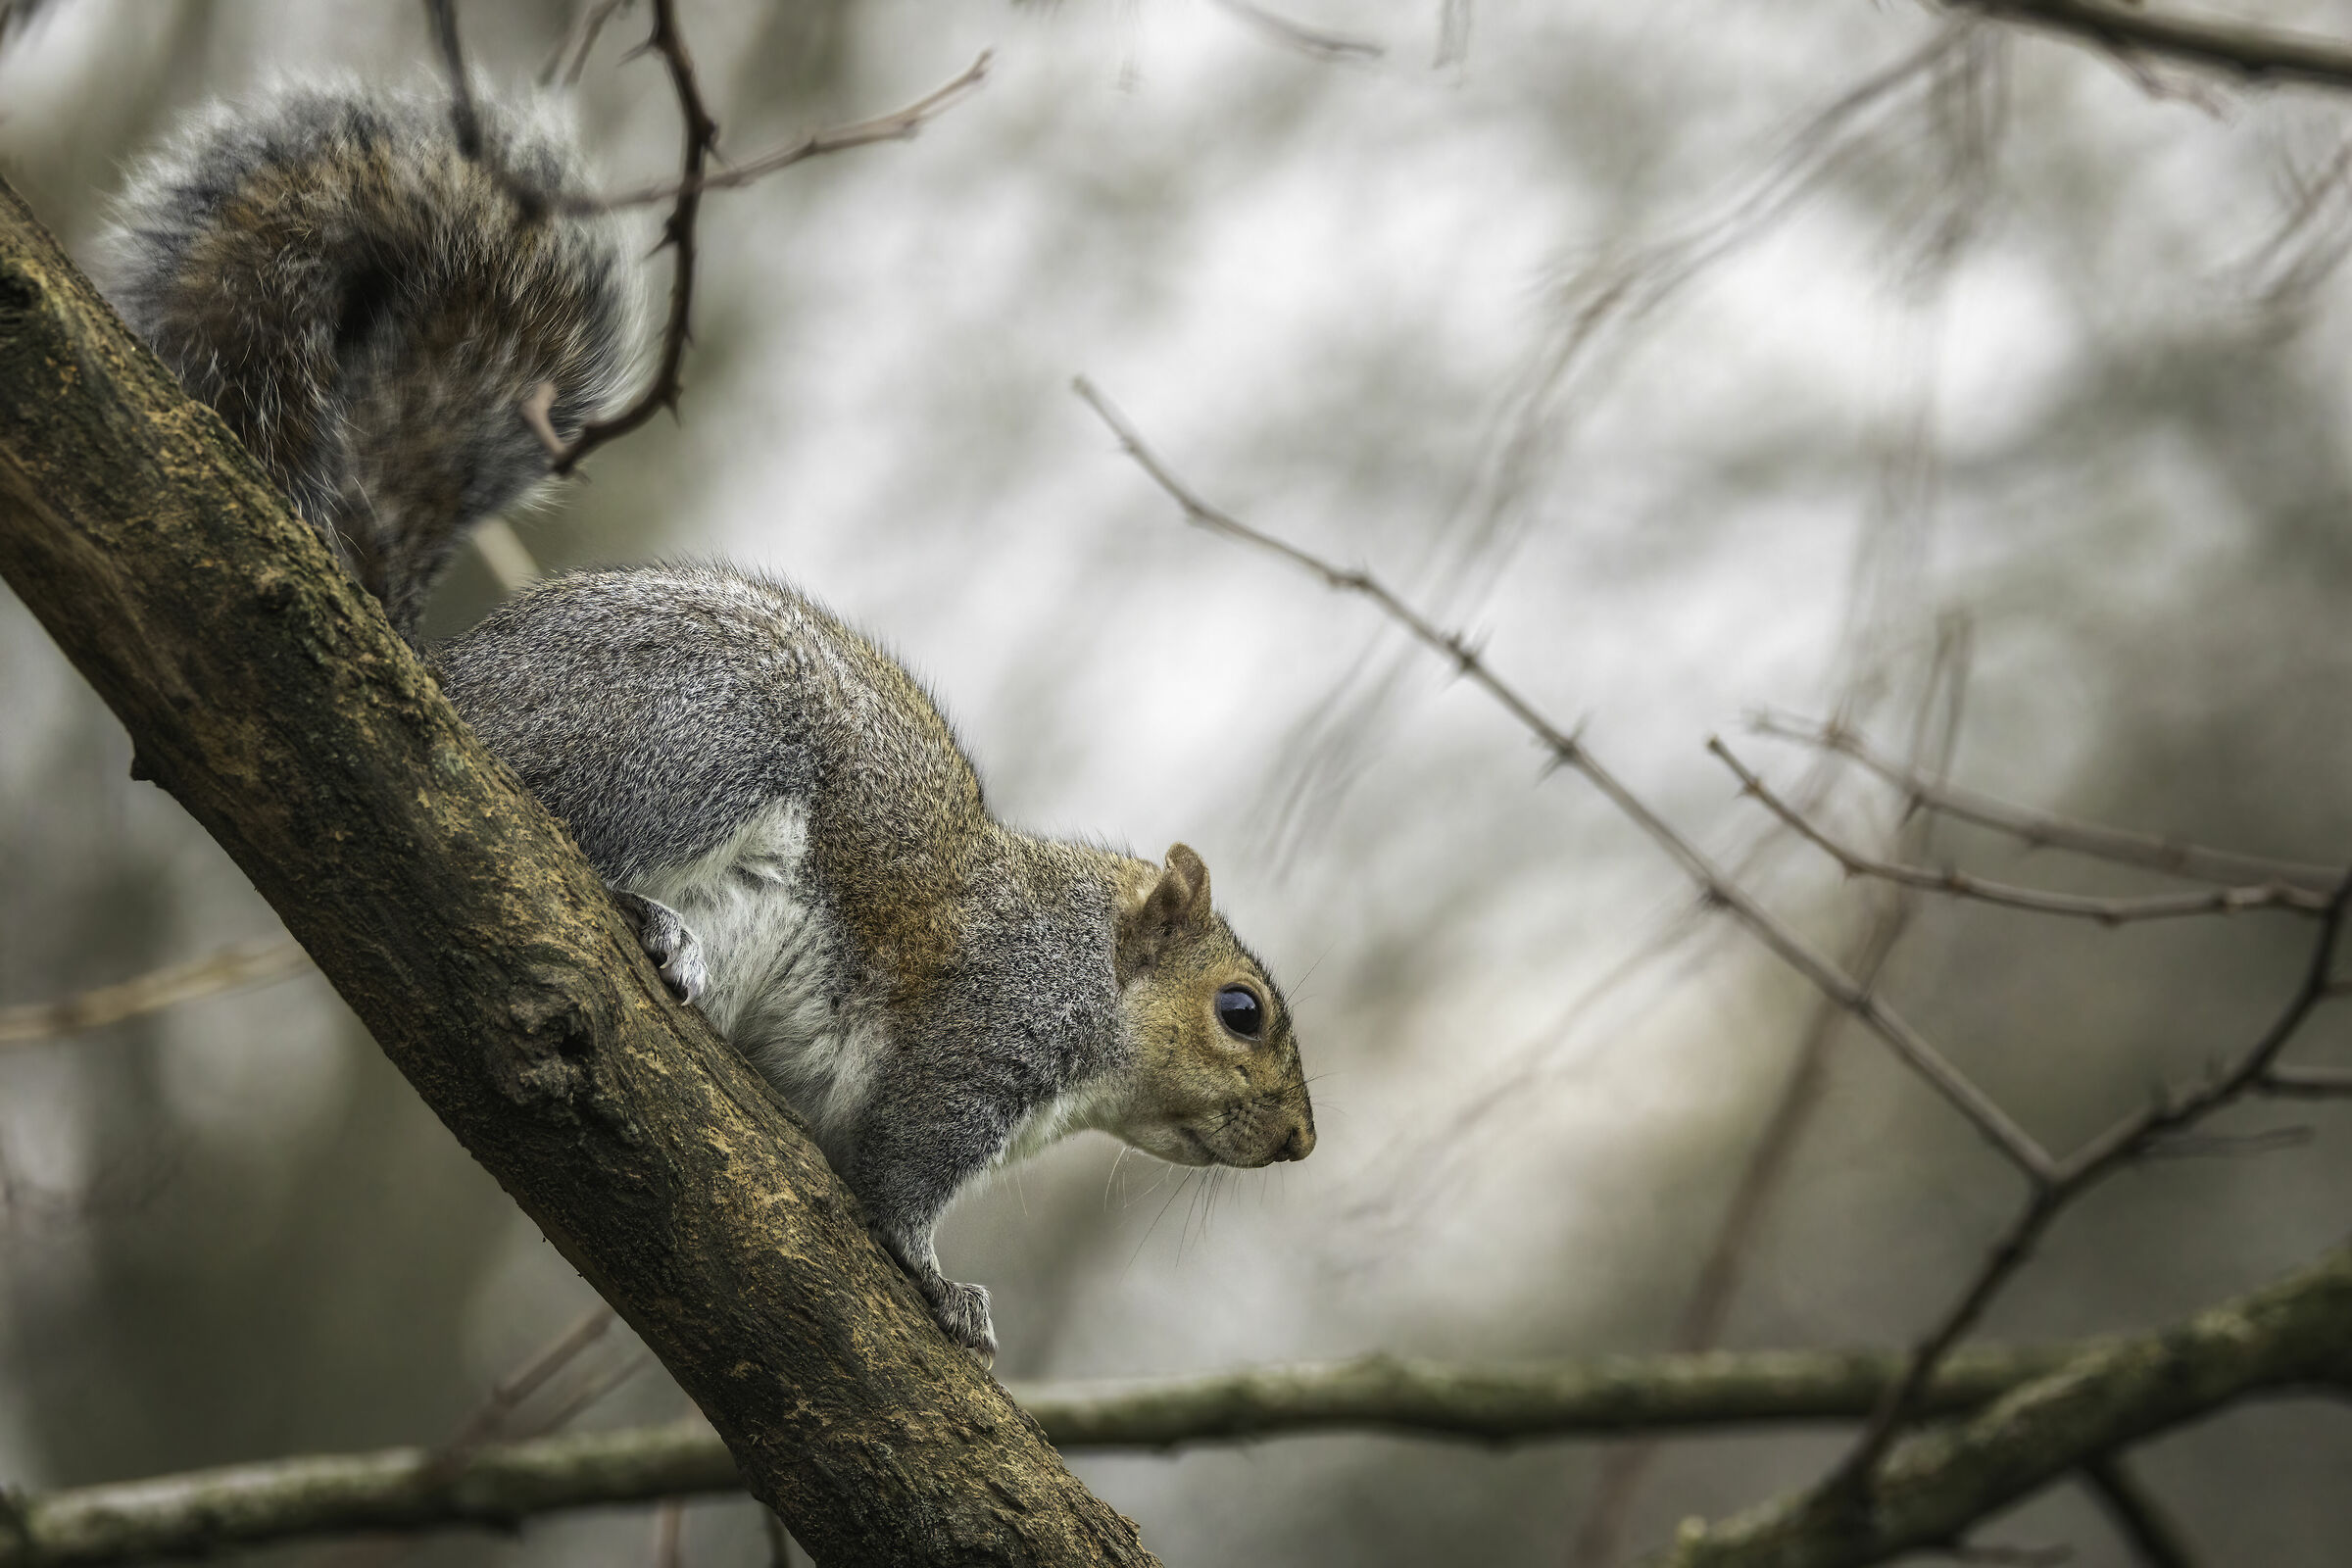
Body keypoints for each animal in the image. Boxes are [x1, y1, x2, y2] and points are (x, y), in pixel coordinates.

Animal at [98, 80, 1317, 1360]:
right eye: (1241, 1012)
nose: (1301, 1140)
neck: (1086, 964)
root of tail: (445, 677)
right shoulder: (981, 1029)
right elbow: (900, 1175)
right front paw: (942, 1285)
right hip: (701, 739)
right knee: (553, 829)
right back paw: (647, 918)